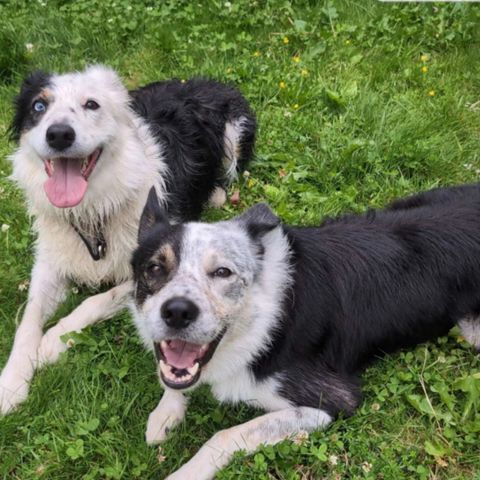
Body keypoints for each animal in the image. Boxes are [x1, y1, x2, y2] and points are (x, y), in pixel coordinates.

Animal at [0, 64, 255, 412]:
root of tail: (206, 80)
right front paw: (11, 382)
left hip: (234, 134)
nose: (59, 134)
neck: (94, 209)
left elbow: (94, 300)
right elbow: (28, 318)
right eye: (38, 106)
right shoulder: (51, 261)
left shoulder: (145, 269)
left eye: (91, 104)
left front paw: (51, 342)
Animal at [129, 185, 480, 480]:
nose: (177, 312)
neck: (262, 320)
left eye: (223, 272)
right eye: (155, 268)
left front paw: (185, 473)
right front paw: (166, 412)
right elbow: (172, 378)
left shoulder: (333, 402)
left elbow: (229, 433)